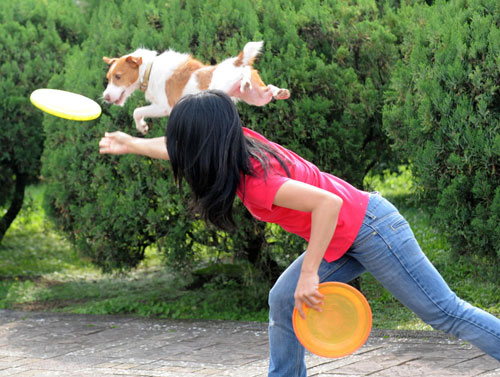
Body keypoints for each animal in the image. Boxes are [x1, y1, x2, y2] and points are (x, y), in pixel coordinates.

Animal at [102, 40, 292, 134]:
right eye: (108, 78)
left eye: (118, 76)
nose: (105, 97)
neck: (149, 69)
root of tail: (237, 61)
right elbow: (138, 112)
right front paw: (142, 126)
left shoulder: (163, 107)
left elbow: (137, 111)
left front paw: (141, 126)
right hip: (257, 98)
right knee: (268, 89)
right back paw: (280, 92)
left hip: (226, 84)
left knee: (245, 72)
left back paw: (245, 80)